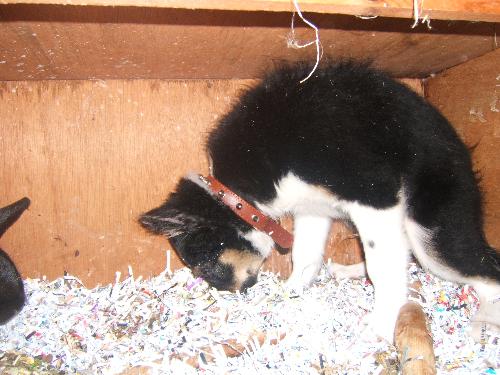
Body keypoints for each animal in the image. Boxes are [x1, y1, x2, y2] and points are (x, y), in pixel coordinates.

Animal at [141, 61, 500, 340]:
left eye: (205, 264)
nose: (231, 292)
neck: (243, 189)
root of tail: (463, 154)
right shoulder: (312, 210)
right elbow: (305, 256)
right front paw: (293, 290)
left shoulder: (374, 193)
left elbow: (382, 266)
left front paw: (381, 324)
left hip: (431, 232)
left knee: (483, 269)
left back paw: (483, 324)